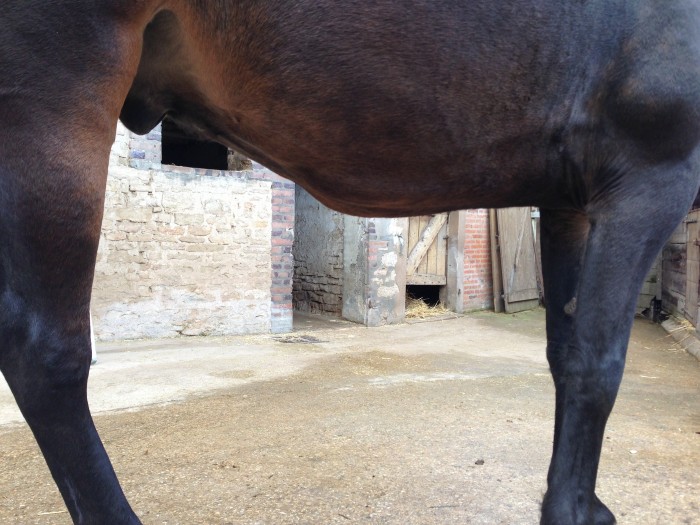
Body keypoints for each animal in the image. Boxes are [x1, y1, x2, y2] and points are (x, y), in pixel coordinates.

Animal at [1, 1, 700, 524]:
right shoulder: (648, 179)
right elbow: (596, 365)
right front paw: (573, 511)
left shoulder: (568, 203)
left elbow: (562, 350)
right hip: (58, 95)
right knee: (46, 354)